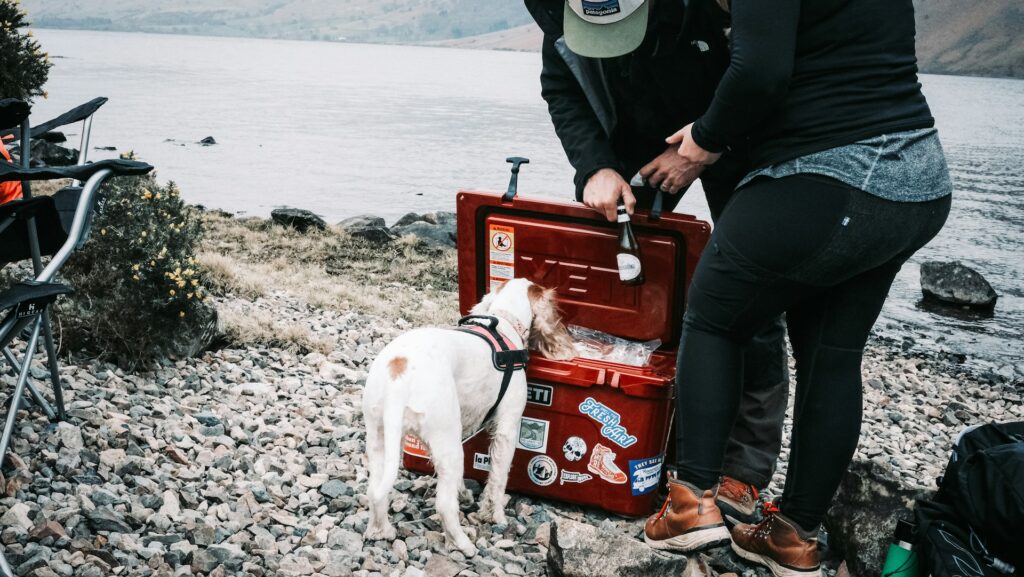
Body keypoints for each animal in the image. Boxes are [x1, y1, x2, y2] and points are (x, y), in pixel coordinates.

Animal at [360, 280, 573, 553]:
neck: (504, 321)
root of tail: (399, 369)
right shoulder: (507, 427)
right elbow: (498, 478)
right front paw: (495, 516)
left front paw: (464, 495)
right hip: (448, 444)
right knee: (443, 505)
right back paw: (463, 544)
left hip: (380, 439)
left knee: (375, 490)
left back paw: (380, 531)